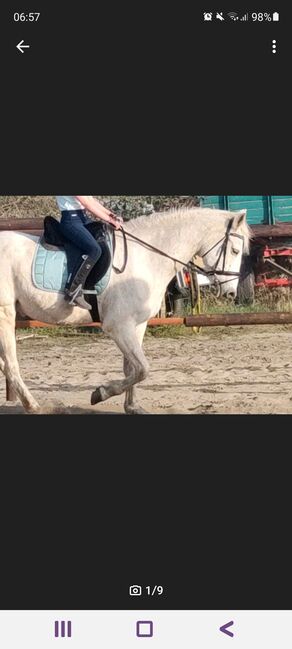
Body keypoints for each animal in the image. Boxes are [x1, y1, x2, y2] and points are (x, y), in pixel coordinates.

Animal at [0, 208, 251, 412]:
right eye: (235, 250)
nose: (230, 293)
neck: (147, 256)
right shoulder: (118, 326)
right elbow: (143, 369)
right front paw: (100, 393)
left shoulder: (137, 324)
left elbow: (132, 368)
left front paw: (132, 406)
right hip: (5, 315)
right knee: (11, 365)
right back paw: (33, 406)